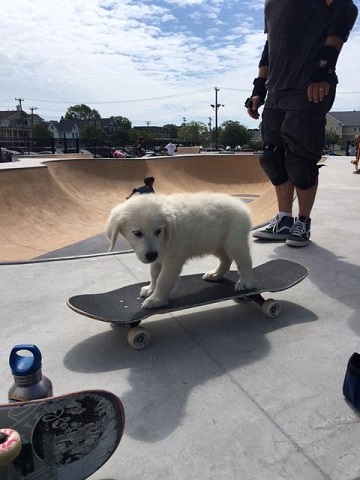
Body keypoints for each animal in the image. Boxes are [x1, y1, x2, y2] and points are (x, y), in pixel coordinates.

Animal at [105, 193, 253, 310]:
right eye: (137, 233)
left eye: (158, 231)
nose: (151, 255)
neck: (164, 238)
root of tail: (240, 204)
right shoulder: (159, 256)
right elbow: (154, 274)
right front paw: (150, 289)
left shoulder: (173, 260)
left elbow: (163, 279)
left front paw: (156, 299)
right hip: (214, 244)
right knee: (226, 259)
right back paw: (215, 274)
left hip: (234, 242)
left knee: (245, 262)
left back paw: (244, 282)